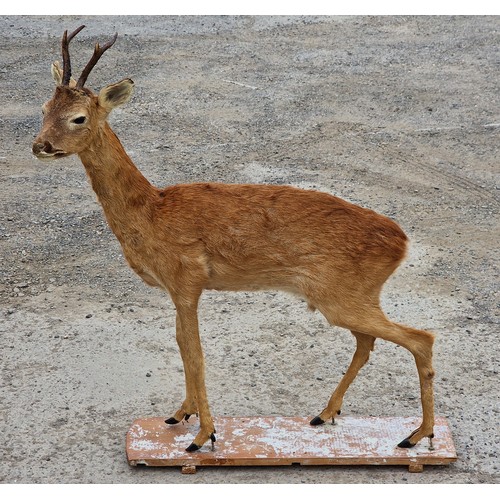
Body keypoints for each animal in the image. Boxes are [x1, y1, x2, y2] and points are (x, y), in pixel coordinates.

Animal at [33, 25, 436, 452]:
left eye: (78, 117)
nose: (40, 145)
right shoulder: (178, 289)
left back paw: (418, 435)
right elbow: (181, 345)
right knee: (367, 342)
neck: (151, 212)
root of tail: (401, 241)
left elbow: (195, 353)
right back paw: (326, 413)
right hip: (348, 295)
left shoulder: (187, 280)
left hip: (343, 294)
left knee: (420, 338)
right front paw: (181, 413)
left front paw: (204, 435)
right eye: (43, 108)